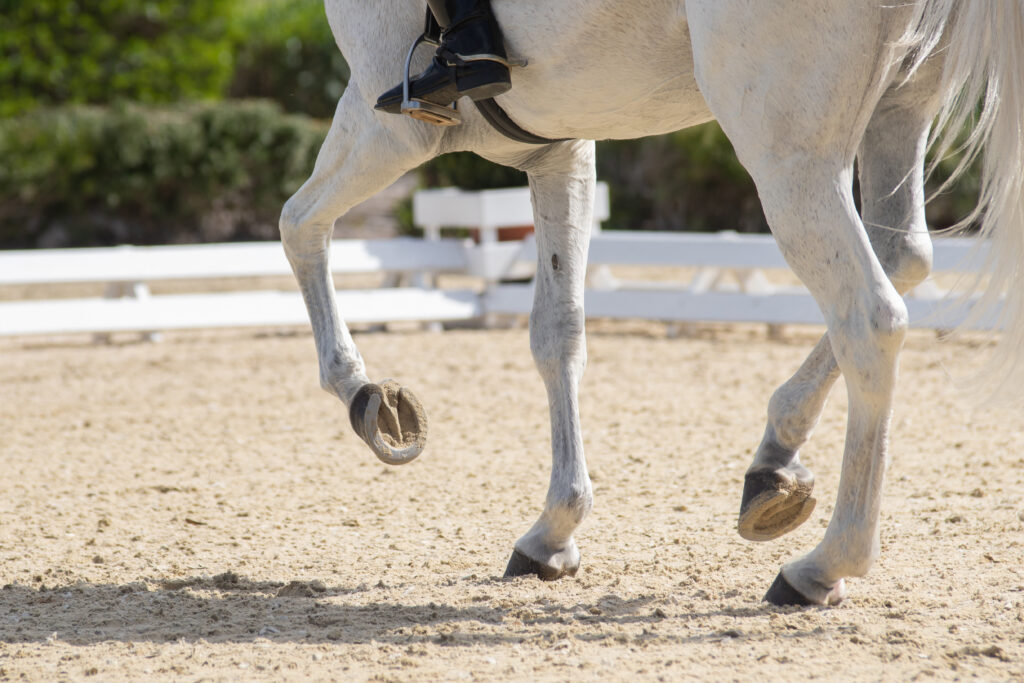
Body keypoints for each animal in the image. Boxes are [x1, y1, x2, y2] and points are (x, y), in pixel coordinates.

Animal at [279, 0, 1024, 606]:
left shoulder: (393, 121)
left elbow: (297, 224)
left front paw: (369, 400)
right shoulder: (558, 147)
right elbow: (557, 334)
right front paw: (552, 532)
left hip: (789, 152)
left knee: (868, 316)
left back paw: (820, 566)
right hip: (899, 103)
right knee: (903, 255)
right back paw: (773, 465)